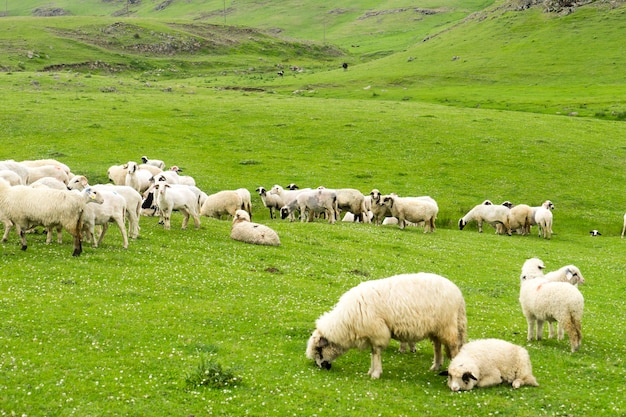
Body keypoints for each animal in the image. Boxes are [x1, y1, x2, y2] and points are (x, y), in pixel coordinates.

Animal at [304, 272, 466, 378]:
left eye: (319, 350)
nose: (322, 367)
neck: (347, 322)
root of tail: (458, 293)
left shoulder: (377, 331)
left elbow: (376, 353)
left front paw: (375, 373)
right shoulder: (371, 334)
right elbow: (372, 353)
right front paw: (371, 371)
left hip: (448, 325)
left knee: (453, 347)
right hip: (437, 328)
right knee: (437, 346)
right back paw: (435, 366)